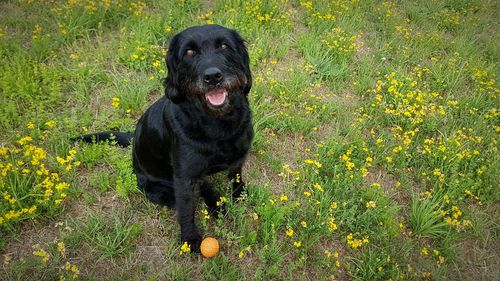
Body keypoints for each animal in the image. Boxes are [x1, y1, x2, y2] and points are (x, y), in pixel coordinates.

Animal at [78, 25, 254, 250]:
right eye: (189, 52)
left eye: (224, 46)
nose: (213, 77)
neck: (216, 124)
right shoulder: (185, 177)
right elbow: (186, 208)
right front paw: (189, 239)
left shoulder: (238, 155)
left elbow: (236, 175)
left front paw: (239, 195)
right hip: (159, 189)